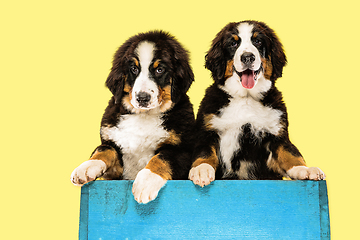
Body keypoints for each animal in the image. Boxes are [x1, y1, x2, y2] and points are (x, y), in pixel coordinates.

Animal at [71, 29, 195, 202]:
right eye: (134, 69)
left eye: (160, 70)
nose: (142, 98)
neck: (143, 117)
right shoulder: (118, 167)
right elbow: (104, 149)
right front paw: (86, 167)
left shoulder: (182, 151)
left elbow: (161, 158)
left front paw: (145, 182)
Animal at [190, 19, 324, 187]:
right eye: (233, 43)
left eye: (258, 41)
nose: (248, 57)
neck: (246, 98)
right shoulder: (207, 131)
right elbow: (205, 153)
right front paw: (201, 170)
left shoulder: (277, 135)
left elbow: (290, 154)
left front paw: (305, 170)